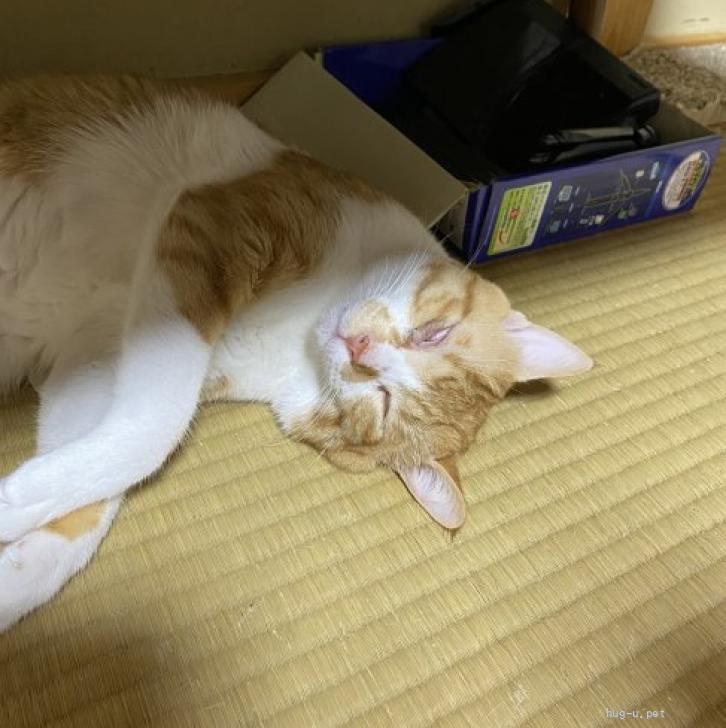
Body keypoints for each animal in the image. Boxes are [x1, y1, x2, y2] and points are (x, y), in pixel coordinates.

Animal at [0, 74, 592, 631]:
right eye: (434, 333)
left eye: (379, 408)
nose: (359, 347)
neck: (298, 330)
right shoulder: (215, 227)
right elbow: (156, 429)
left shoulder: (95, 350)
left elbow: (101, 483)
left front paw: (15, 565)